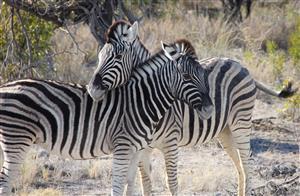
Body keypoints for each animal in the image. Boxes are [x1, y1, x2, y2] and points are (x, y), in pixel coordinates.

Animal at [87, 20, 298, 195]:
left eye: (117, 56)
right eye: (99, 56)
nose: (92, 89)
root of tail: (239, 64)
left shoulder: (170, 143)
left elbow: (171, 182)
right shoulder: (141, 147)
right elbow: (145, 181)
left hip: (241, 122)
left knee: (248, 162)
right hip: (225, 131)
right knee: (239, 166)